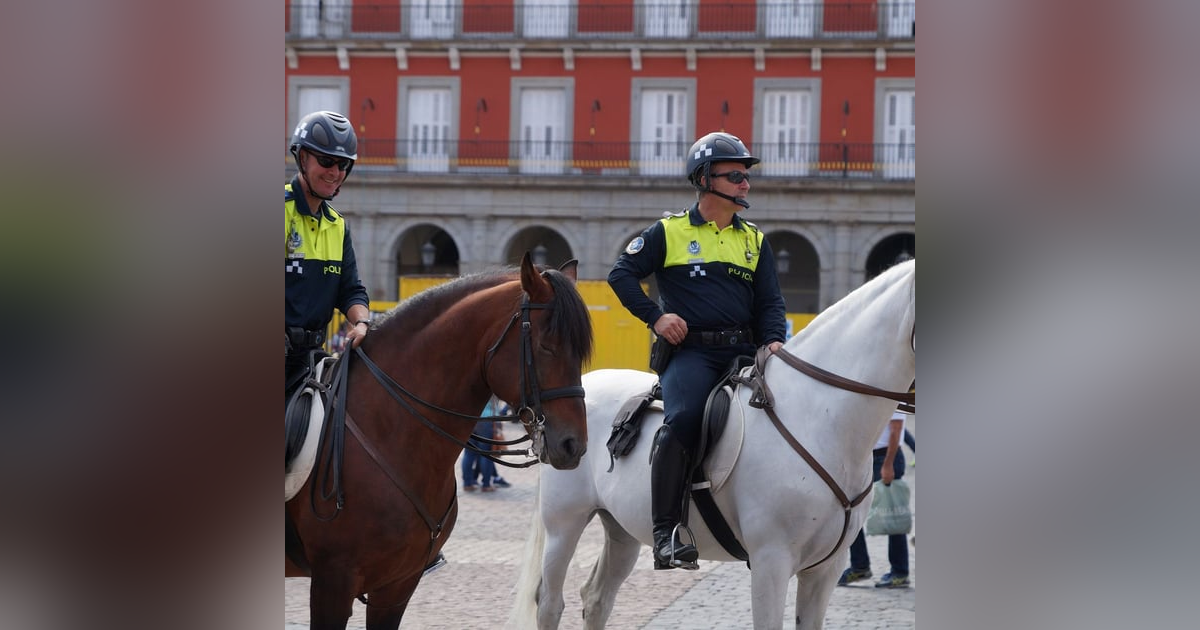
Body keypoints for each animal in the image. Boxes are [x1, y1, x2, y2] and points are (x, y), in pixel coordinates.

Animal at [510, 258, 915, 630]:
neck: (819, 416)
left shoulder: (825, 569)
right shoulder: (771, 562)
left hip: (622, 528)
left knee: (597, 598)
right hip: (564, 523)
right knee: (550, 602)